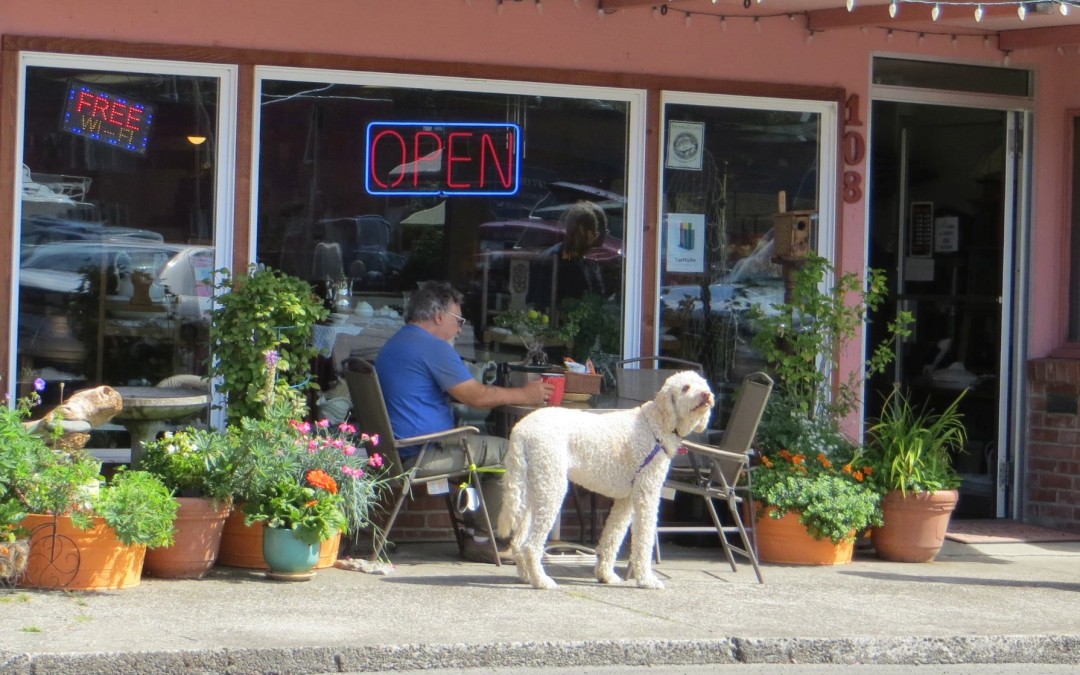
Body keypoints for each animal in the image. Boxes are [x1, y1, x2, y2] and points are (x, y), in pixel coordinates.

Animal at [496, 371, 717, 587]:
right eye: (685, 388)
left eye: (703, 385)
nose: (707, 395)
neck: (657, 424)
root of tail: (521, 429)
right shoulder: (646, 493)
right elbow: (643, 539)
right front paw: (647, 580)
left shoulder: (626, 499)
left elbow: (613, 536)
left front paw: (605, 575)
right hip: (551, 486)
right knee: (531, 545)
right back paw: (541, 581)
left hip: (532, 488)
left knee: (518, 542)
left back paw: (526, 576)